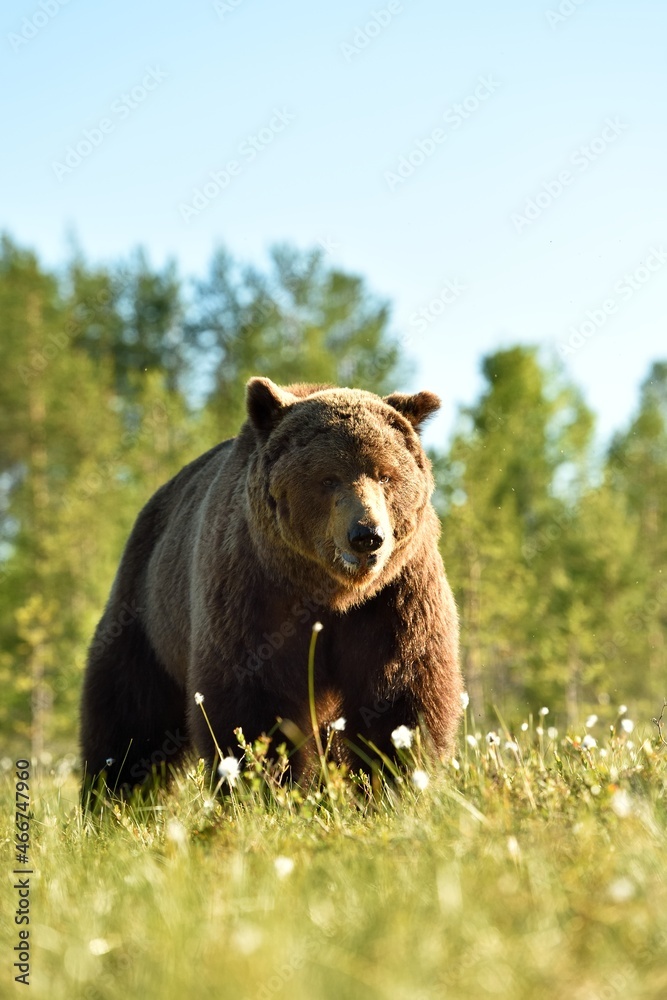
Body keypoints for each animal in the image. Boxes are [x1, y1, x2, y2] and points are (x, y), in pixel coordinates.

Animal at [80, 378, 462, 797]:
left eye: (385, 475)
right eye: (328, 477)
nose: (366, 536)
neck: (331, 591)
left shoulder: (396, 595)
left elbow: (401, 691)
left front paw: (395, 782)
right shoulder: (254, 590)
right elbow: (251, 702)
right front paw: (262, 786)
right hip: (148, 610)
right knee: (130, 711)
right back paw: (110, 793)